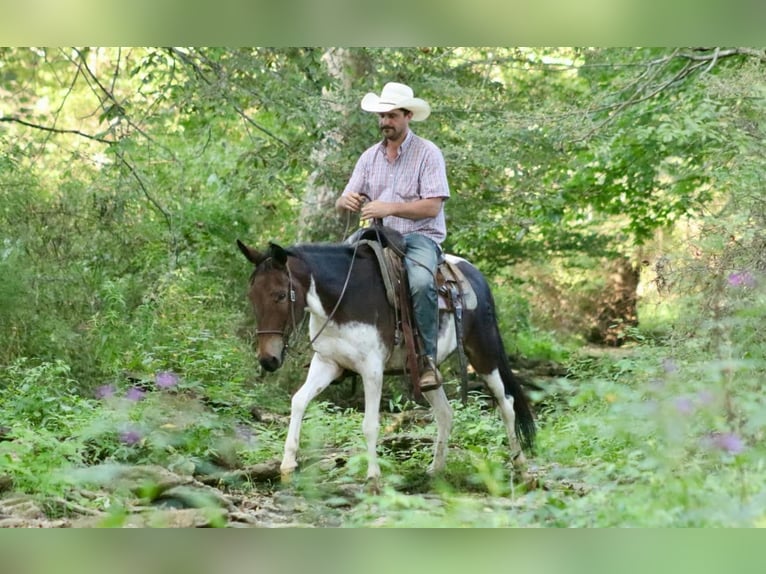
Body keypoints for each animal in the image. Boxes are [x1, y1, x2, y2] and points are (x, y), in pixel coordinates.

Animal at [237, 234, 536, 486]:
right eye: (251, 295)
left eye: (279, 295)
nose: (268, 359)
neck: (343, 298)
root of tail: (475, 276)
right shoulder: (327, 363)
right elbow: (298, 402)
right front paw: (287, 466)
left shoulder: (372, 368)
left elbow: (370, 424)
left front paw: (373, 477)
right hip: (428, 370)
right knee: (445, 413)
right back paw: (435, 470)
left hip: (484, 352)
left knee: (507, 405)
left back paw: (522, 468)